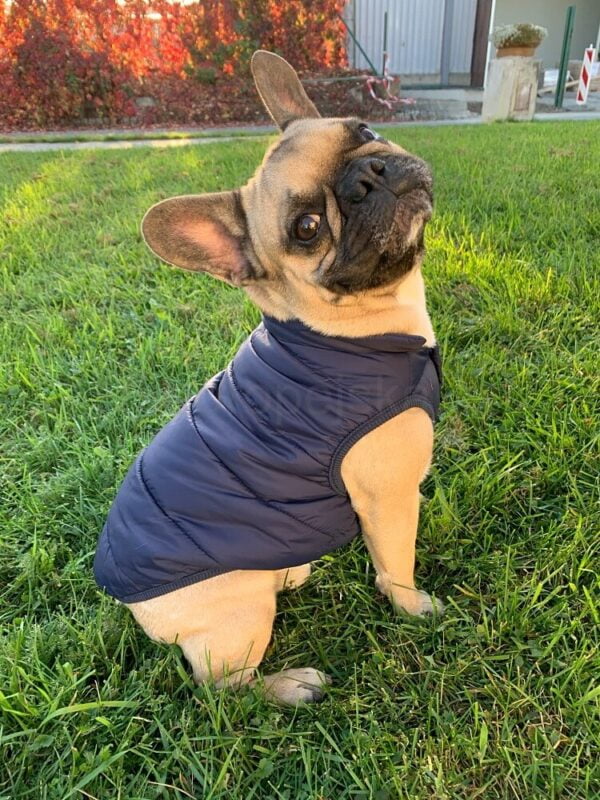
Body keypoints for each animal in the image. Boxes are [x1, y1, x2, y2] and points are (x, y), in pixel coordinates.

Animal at [94, 50, 443, 706]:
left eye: (364, 128)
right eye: (306, 228)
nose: (367, 176)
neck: (341, 330)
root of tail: (132, 606)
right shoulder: (388, 498)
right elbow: (396, 566)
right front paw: (416, 609)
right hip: (242, 616)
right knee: (224, 688)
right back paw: (290, 685)